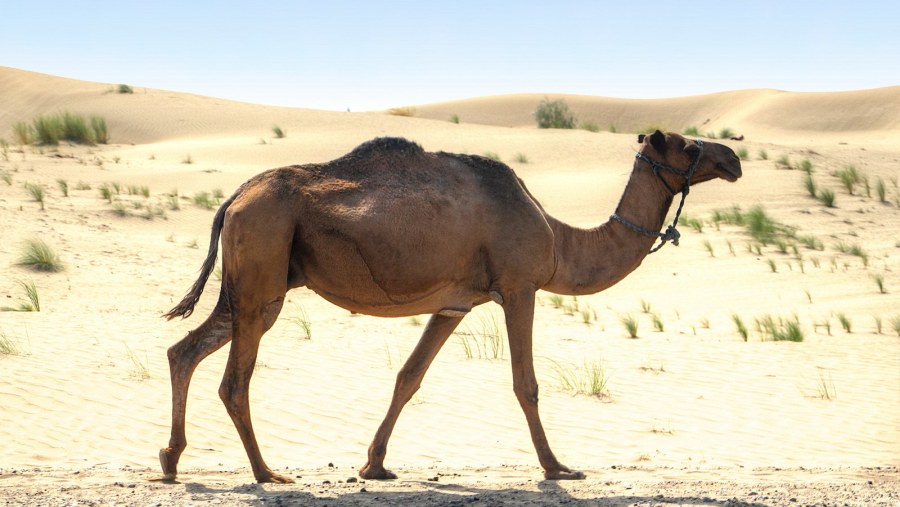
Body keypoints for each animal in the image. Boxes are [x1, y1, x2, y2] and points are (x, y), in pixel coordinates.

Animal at [158, 130, 740, 484]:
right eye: (687, 145)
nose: (732, 158)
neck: (559, 241)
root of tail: (234, 198)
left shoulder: (453, 305)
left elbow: (408, 377)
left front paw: (374, 466)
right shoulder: (521, 287)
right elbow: (526, 384)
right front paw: (558, 467)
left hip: (251, 284)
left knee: (184, 350)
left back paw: (170, 459)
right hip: (264, 265)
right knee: (234, 381)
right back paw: (266, 473)